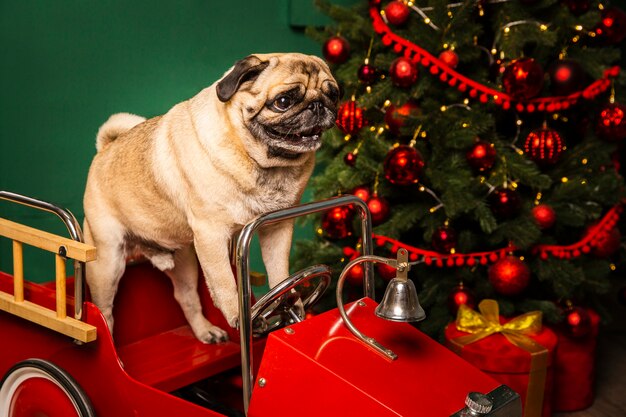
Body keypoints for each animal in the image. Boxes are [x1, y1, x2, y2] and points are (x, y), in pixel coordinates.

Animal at [84, 53, 336, 342]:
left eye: (334, 95)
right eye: (283, 101)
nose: (318, 105)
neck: (262, 164)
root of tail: (105, 149)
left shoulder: (277, 229)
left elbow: (278, 269)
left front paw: (288, 300)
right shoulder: (210, 235)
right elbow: (225, 281)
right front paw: (240, 316)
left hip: (184, 261)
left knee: (186, 297)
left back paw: (205, 331)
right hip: (107, 261)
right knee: (104, 311)